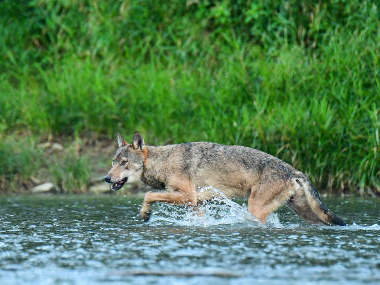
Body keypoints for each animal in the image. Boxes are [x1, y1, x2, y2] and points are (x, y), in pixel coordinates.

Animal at [103, 132, 344, 225]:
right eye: (113, 161)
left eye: (124, 163)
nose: (106, 178)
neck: (163, 161)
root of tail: (295, 171)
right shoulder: (197, 202)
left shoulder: (188, 195)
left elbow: (149, 194)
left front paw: (145, 214)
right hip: (307, 214)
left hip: (255, 209)